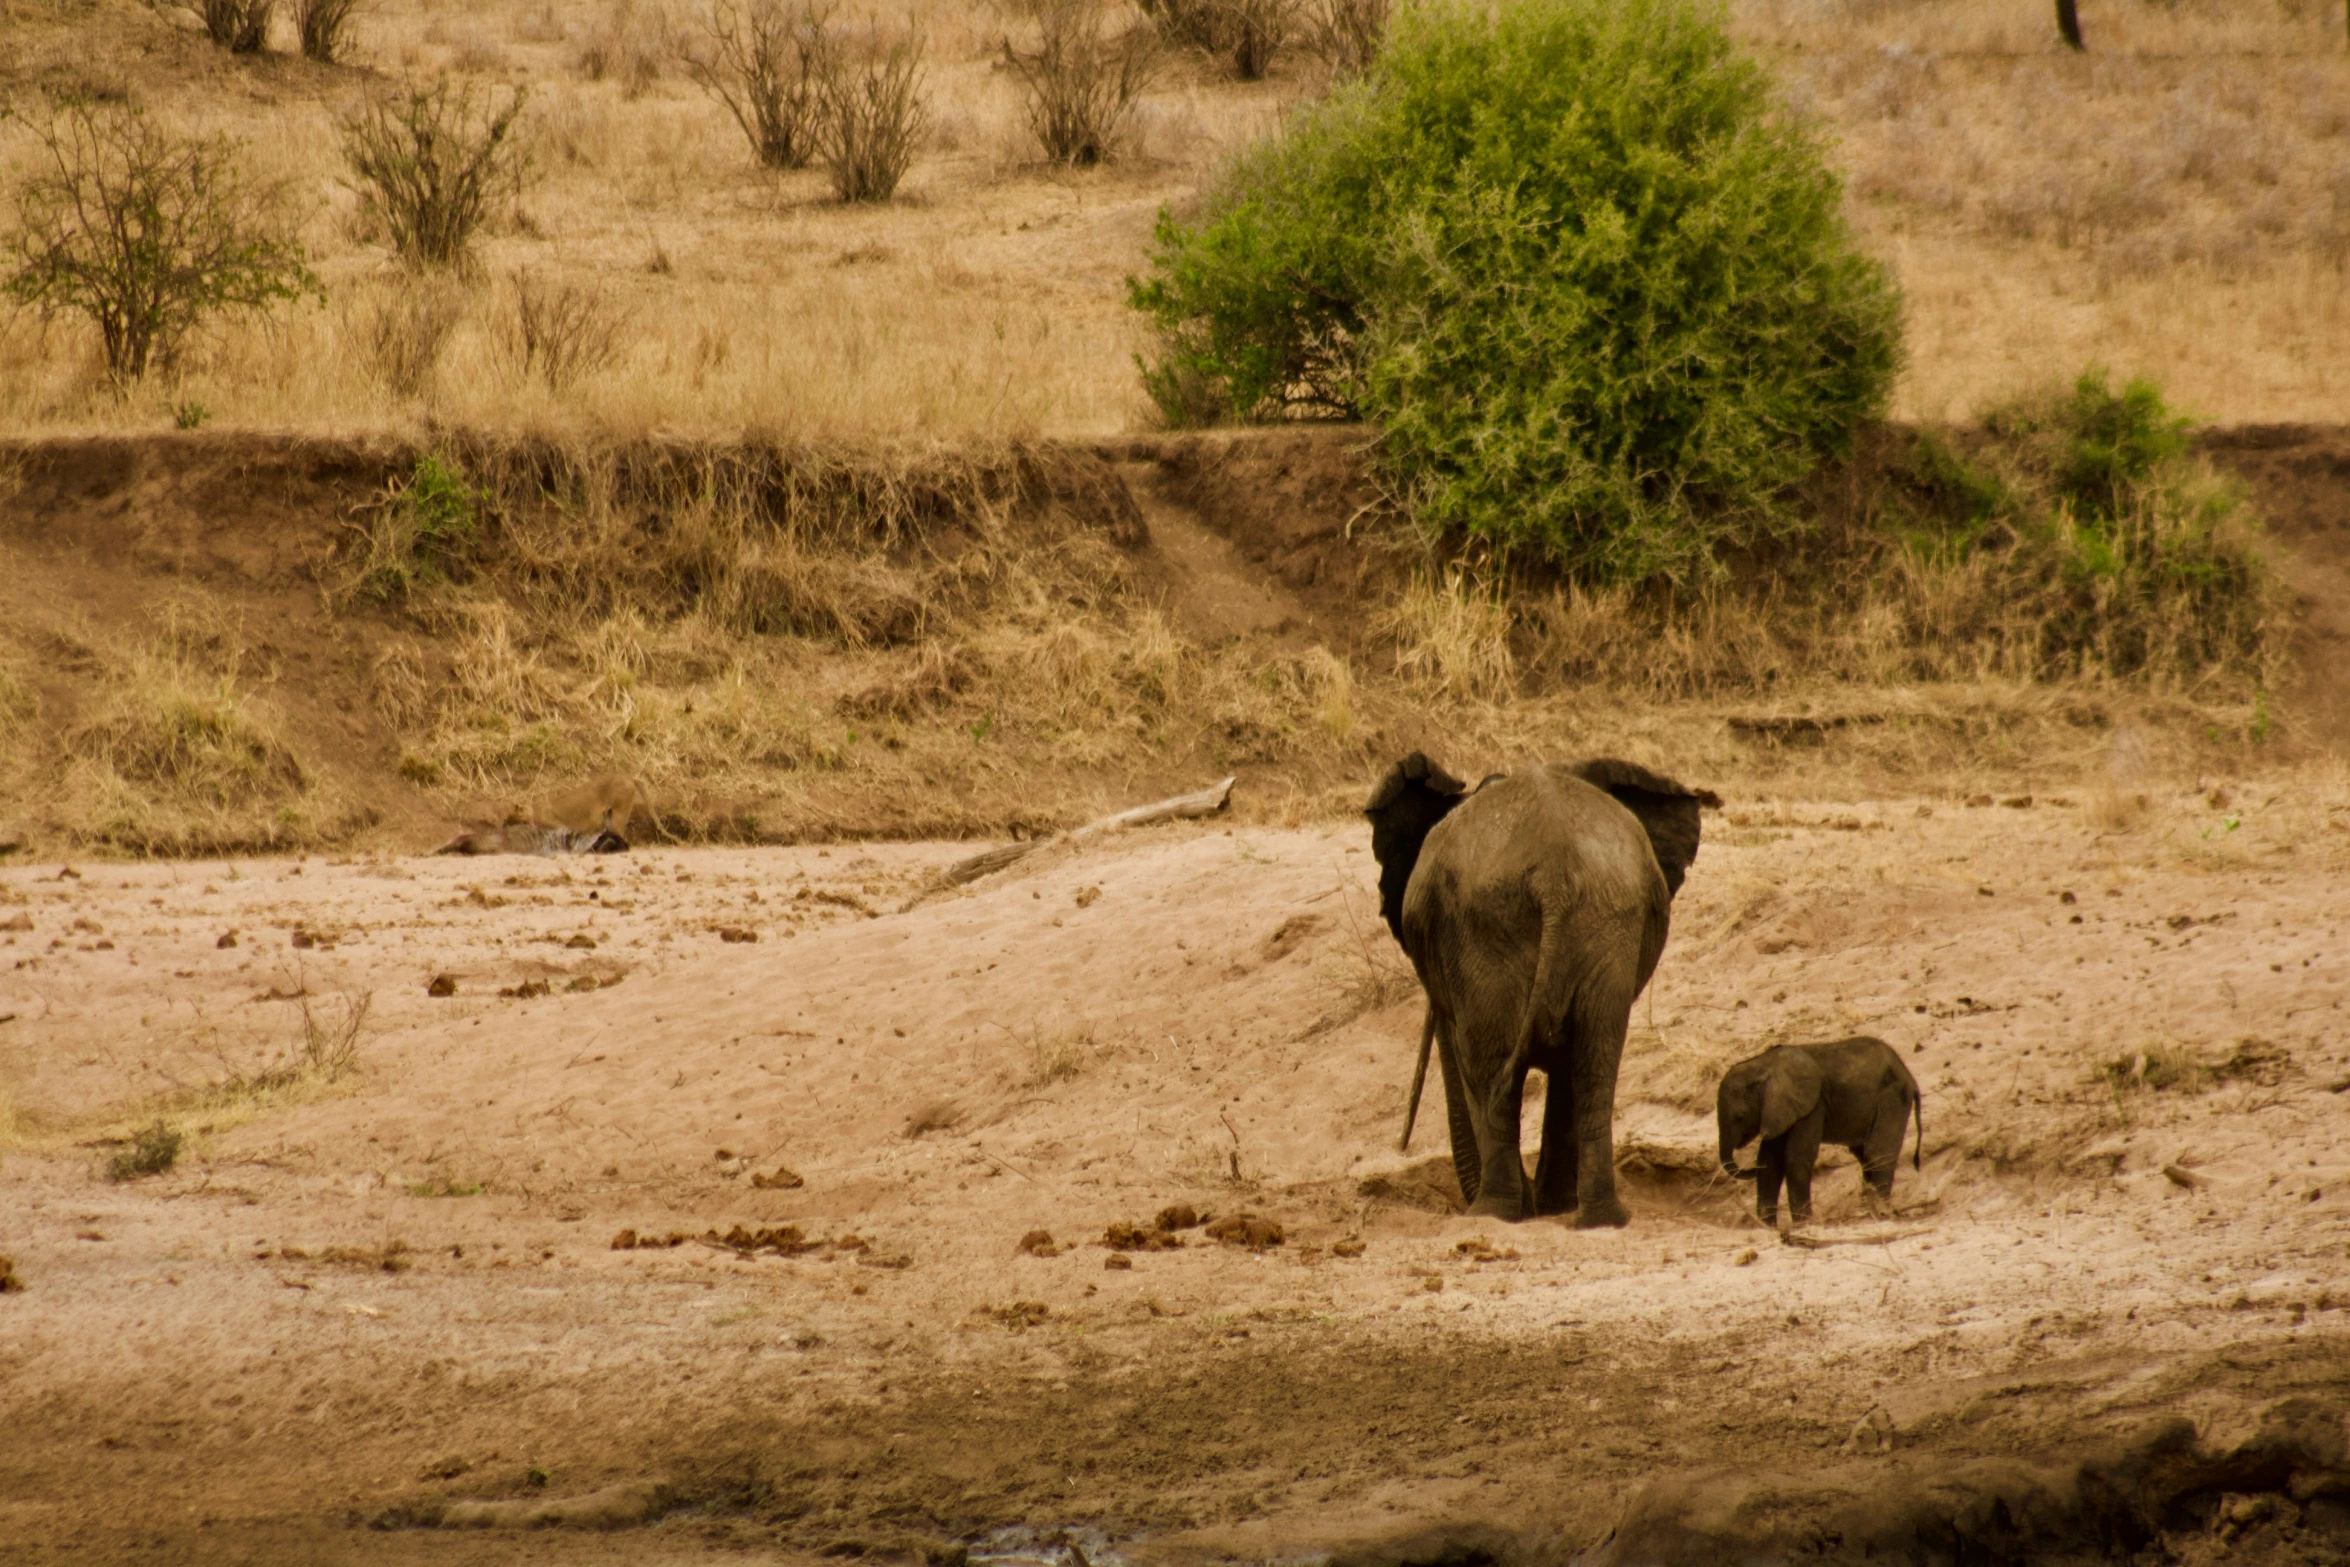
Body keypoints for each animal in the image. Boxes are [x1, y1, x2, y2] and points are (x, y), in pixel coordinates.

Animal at [1372, 751, 1720, 1231]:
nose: (1401, 1145)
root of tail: (1556, 873)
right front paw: (1551, 1206)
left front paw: (1538, 1206)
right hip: (1601, 929)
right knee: (1593, 1064)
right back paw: (1596, 1218)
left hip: (1485, 935)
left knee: (1489, 1068)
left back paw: (1494, 1214)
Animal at [1720, 1043, 1917, 1221]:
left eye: (1739, 1117)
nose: (1749, 1167)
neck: (1762, 1064)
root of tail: (1908, 1075)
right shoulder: (1780, 1110)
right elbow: (1769, 1162)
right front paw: (1768, 1226)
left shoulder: (1812, 1106)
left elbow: (1796, 1160)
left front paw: (1803, 1223)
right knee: (1866, 1157)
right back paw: (1868, 1211)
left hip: (1893, 1097)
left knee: (1879, 1153)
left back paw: (1881, 1212)